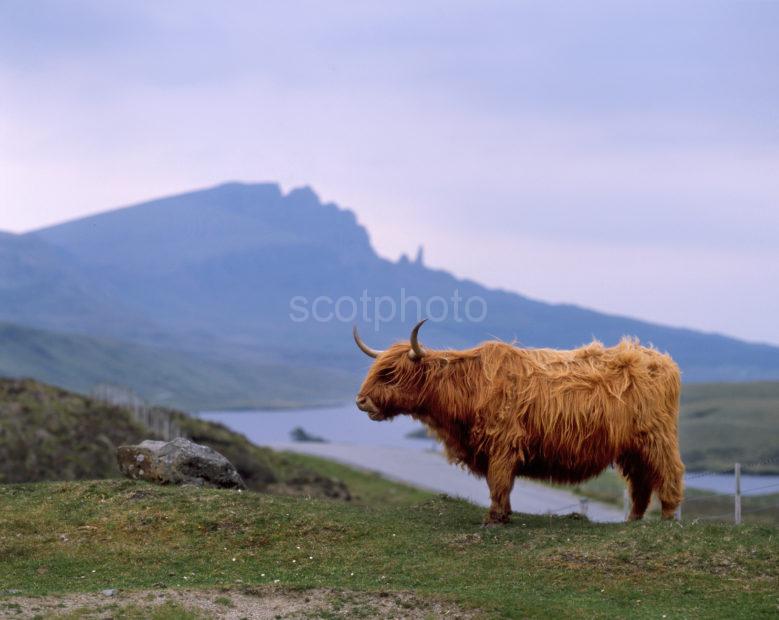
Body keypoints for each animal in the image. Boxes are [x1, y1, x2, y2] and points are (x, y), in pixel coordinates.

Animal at [354, 320, 684, 524]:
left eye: (389, 374)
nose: (361, 401)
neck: (467, 388)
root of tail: (663, 361)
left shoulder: (502, 444)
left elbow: (499, 481)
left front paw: (494, 519)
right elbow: (500, 483)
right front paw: (505, 514)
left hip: (657, 438)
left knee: (669, 473)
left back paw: (667, 517)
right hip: (632, 448)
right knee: (640, 483)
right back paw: (632, 520)